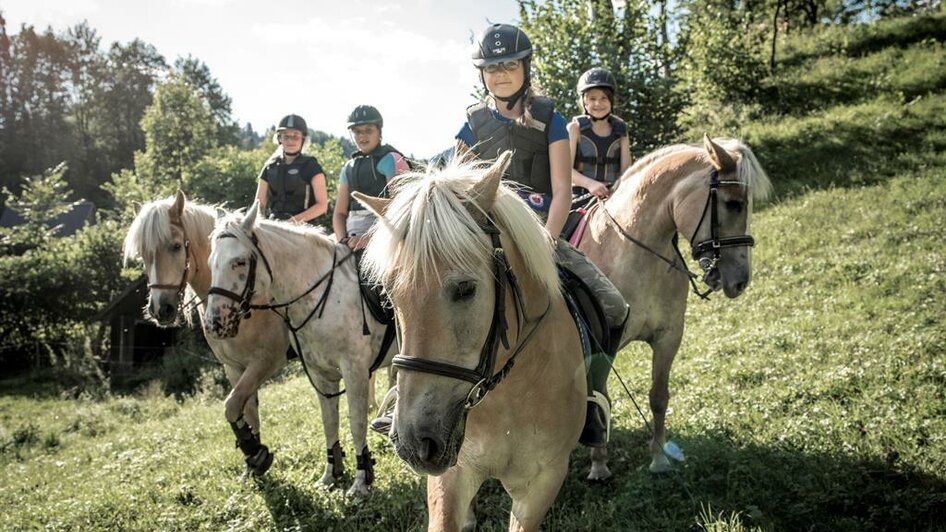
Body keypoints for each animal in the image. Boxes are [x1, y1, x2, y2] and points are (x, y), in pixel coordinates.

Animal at [123, 192, 290, 478]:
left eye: (176, 246)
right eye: (144, 254)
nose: (161, 309)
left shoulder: (267, 360)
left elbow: (232, 405)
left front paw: (254, 452)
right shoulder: (234, 366)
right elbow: (246, 409)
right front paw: (254, 456)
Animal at [205, 204, 396, 498]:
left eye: (239, 262)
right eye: (210, 263)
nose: (214, 323)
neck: (322, 295)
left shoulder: (354, 370)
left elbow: (356, 422)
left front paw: (361, 481)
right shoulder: (321, 375)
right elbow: (329, 422)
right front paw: (330, 474)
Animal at [356, 152, 584, 528]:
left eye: (465, 288)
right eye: (389, 296)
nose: (415, 442)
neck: (509, 393)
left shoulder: (542, 484)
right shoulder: (452, 474)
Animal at [572, 135, 772, 476]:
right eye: (733, 204)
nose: (741, 280)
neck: (632, 253)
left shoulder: (668, 337)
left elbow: (658, 397)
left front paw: (660, 459)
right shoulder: (604, 347)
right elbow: (601, 394)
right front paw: (599, 464)